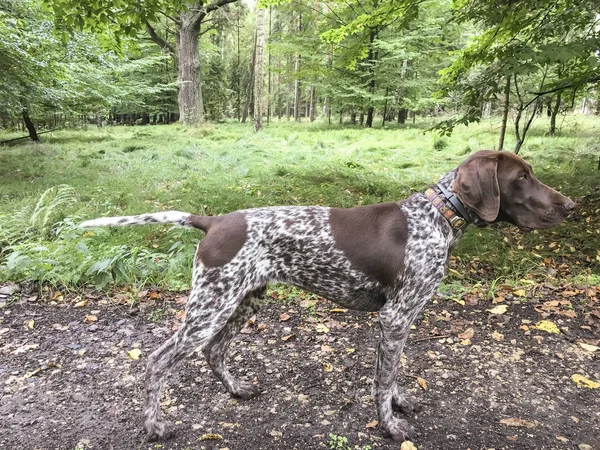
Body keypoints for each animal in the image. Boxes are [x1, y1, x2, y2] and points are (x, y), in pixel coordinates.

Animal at [81, 151, 576, 442]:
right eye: (522, 177)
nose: (571, 207)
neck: (437, 216)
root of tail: (215, 221)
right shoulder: (395, 317)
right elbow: (382, 380)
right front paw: (390, 425)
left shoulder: (402, 320)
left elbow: (392, 374)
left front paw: (399, 402)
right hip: (211, 306)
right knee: (158, 360)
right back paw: (154, 425)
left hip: (244, 299)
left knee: (215, 352)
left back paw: (237, 390)